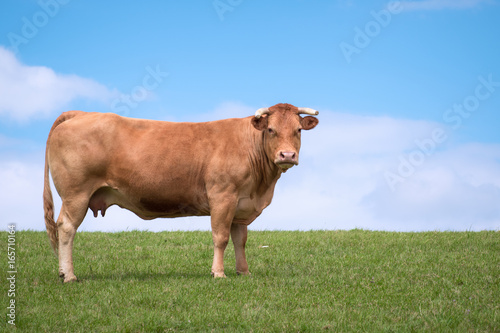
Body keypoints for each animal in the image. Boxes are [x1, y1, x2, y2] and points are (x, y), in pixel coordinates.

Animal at [43, 102, 316, 282]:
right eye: (270, 130)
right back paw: (68, 275)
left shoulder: (241, 205)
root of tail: (80, 113)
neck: (261, 187)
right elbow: (220, 237)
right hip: (76, 194)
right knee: (66, 228)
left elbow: (240, 240)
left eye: (298, 130)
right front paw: (218, 273)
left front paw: (244, 272)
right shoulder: (222, 196)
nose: (287, 155)